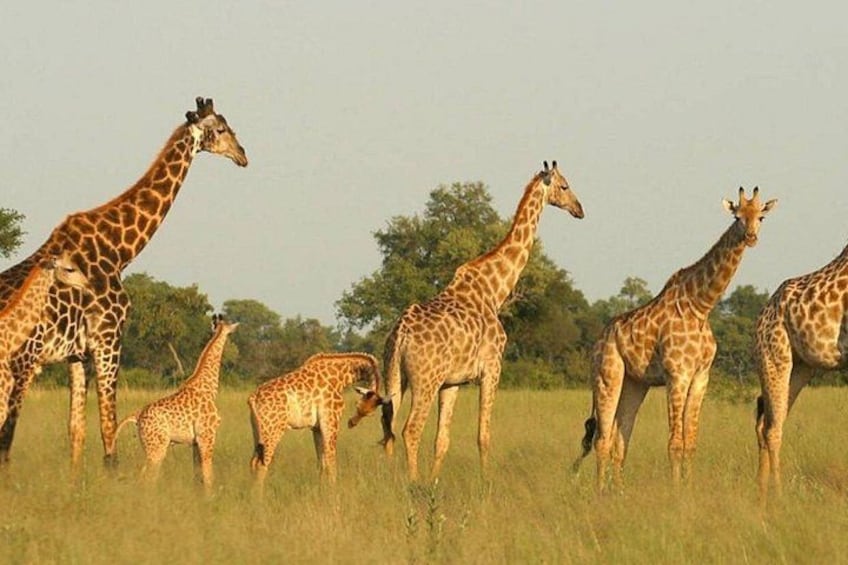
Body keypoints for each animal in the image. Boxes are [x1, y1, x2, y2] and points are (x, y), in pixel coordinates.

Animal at [112, 314, 237, 490]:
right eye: (230, 331)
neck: (209, 387)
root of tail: (137, 415)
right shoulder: (207, 436)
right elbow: (208, 474)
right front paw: (211, 495)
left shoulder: (195, 442)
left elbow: (197, 474)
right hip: (158, 447)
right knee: (147, 478)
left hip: (150, 447)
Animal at [248, 352, 384, 489]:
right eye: (357, 405)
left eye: (370, 414)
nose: (351, 423)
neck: (339, 377)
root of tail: (253, 397)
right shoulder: (331, 421)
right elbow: (330, 461)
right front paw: (333, 490)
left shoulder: (317, 428)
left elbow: (321, 462)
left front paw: (321, 490)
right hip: (273, 430)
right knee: (262, 463)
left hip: (258, 432)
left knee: (253, 462)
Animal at [380, 161, 584, 481]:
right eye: (564, 186)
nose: (579, 209)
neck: (494, 291)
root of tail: (400, 334)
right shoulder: (492, 367)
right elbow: (483, 435)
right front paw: (485, 482)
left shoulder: (452, 382)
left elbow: (442, 440)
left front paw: (434, 482)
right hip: (425, 380)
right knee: (410, 430)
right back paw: (411, 483)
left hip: (395, 374)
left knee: (388, 426)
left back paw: (391, 479)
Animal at [572, 187, 777, 492]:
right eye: (737, 216)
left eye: (760, 216)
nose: (751, 237)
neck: (701, 306)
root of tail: (597, 342)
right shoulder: (677, 375)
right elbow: (674, 443)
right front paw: (676, 491)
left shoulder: (701, 376)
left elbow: (690, 441)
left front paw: (689, 488)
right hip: (607, 377)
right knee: (602, 440)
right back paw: (600, 493)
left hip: (635, 384)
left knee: (621, 442)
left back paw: (618, 492)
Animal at [754, 240, 848, 500]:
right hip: (774, 356)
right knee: (772, 428)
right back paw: (778, 495)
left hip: (801, 368)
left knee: (765, 421)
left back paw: (760, 494)